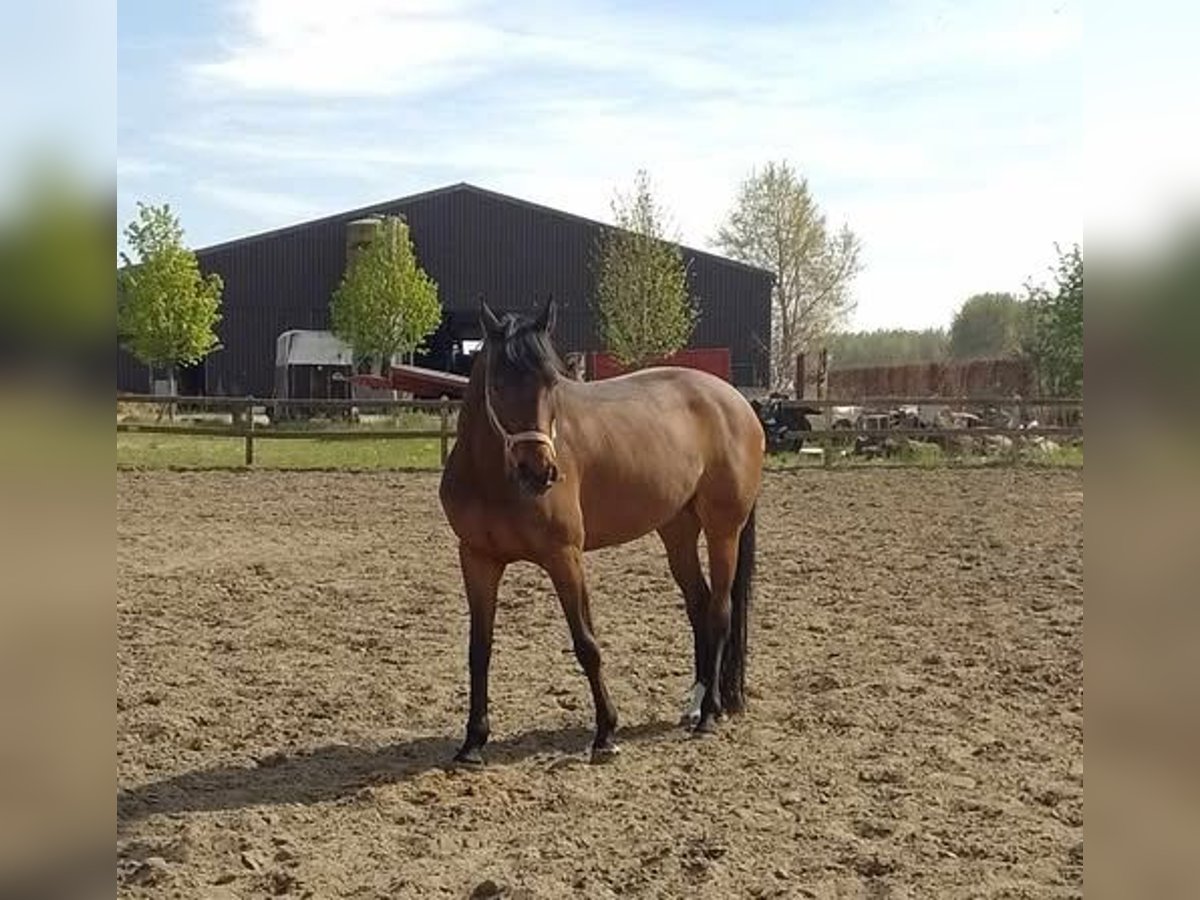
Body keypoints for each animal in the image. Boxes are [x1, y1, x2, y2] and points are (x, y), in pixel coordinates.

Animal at [436, 300, 763, 763]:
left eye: (552, 382)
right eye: (497, 383)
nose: (539, 472)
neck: (493, 479)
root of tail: (736, 401)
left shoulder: (564, 556)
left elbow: (586, 644)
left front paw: (606, 732)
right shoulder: (477, 558)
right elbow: (478, 649)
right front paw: (472, 742)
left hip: (723, 530)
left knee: (719, 613)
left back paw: (710, 713)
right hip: (677, 529)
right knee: (698, 606)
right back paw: (696, 703)